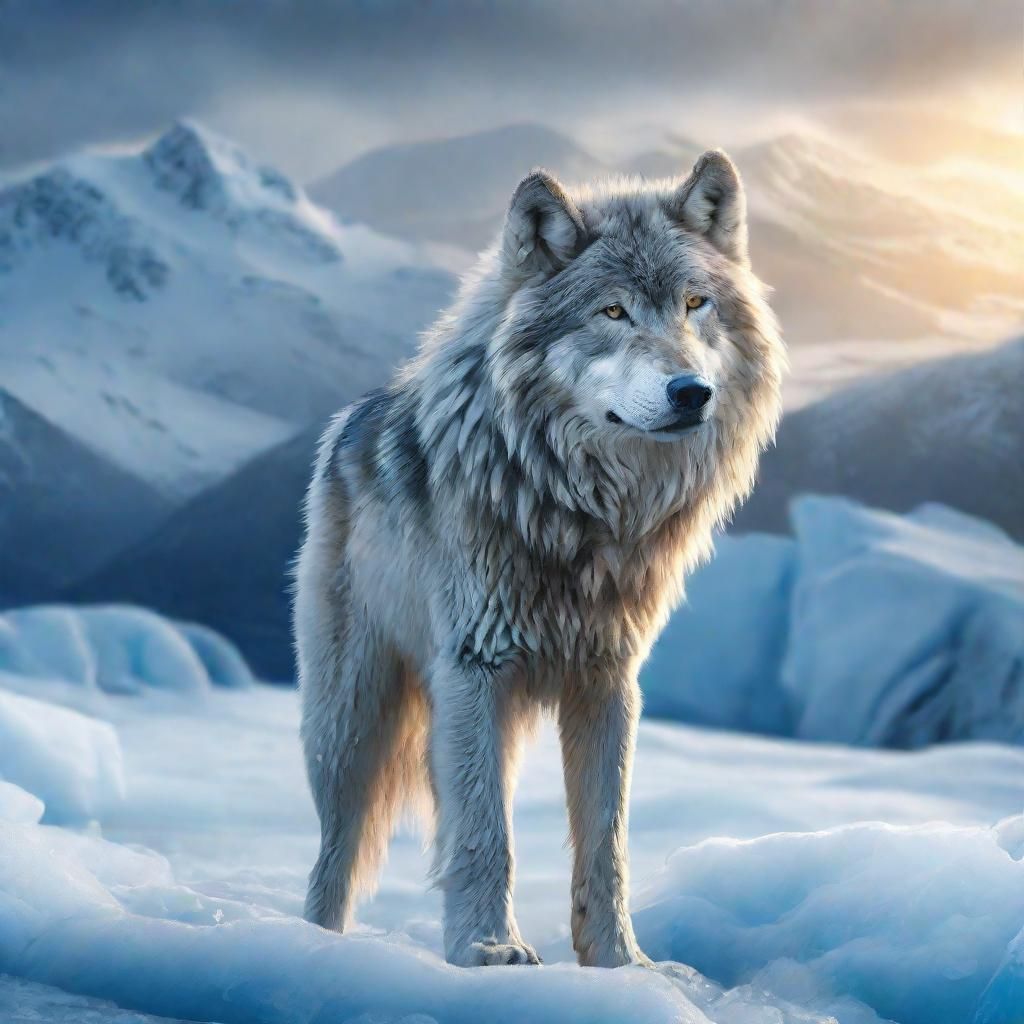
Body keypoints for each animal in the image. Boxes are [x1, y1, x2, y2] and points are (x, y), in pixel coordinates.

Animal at [294, 149, 784, 968]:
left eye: (695, 304)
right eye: (613, 313)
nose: (692, 391)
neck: (581, 513)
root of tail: (349, 423)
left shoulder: (609, 682)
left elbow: (606, 846)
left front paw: (621, 961)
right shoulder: (474, 669)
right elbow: (487, 835)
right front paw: (487, 949)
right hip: (352, 716)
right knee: (336, 850)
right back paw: (309, 945)